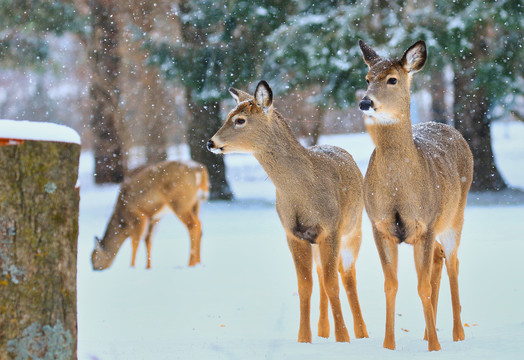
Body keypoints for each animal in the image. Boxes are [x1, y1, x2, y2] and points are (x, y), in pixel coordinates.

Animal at [206, 81, 368, 344]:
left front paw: (343, 338)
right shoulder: (293, 233)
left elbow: (333, 283)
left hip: (354, 229)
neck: (304, 193)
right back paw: (324, 331)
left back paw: (362, 333)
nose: (211, 143)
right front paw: (304, 339)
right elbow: (305, 286)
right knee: (322, 273)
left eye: (240, 120)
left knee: (347, 275)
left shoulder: (331, 229)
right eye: (228, 115)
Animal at [356, 40, 474, 352]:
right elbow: (391, 284)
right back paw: (427, 331)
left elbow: (422, 286)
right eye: (367, 78)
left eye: (392, 79)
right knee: (438, 260)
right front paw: (388, 345)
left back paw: (458, 334)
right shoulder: (379, 225)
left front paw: (435, 347)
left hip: (455, 215)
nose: (365, 102)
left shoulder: (426, 223)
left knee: (453, 262)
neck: (400, 189)